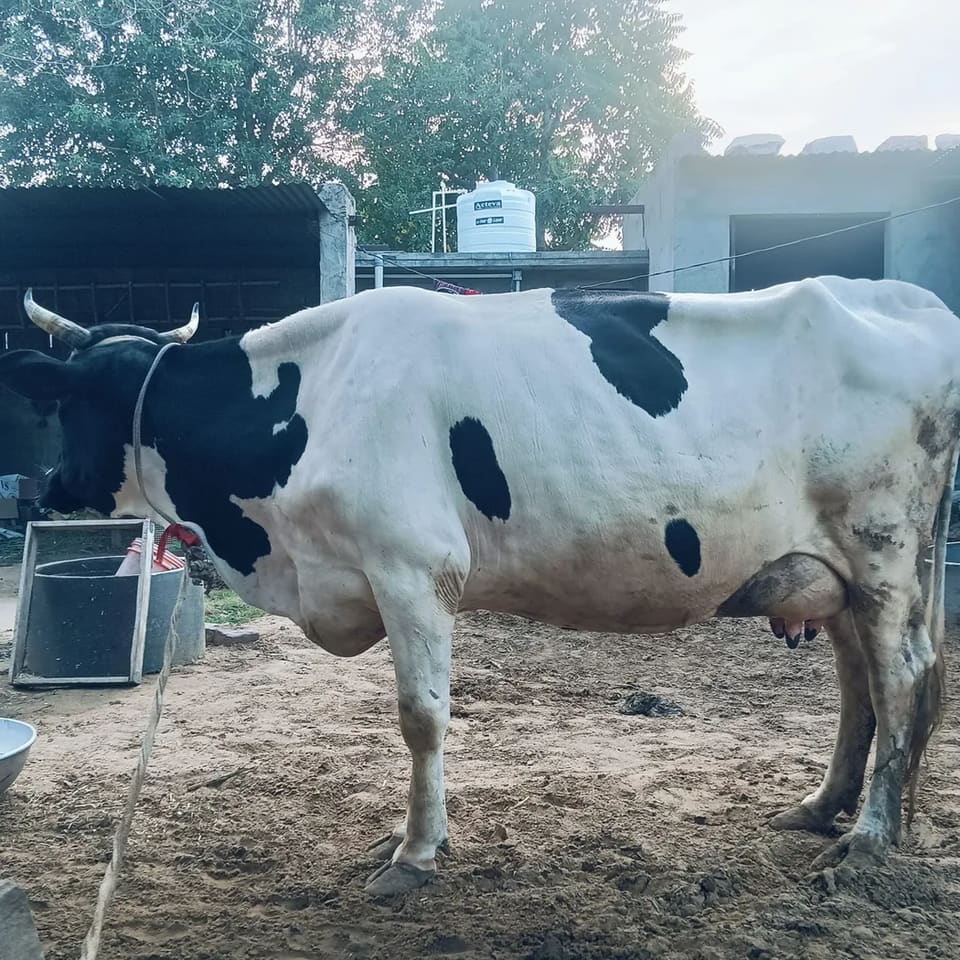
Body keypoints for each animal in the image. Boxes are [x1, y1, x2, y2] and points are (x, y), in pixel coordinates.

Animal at [1, 276, 957, 897]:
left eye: (72, 402)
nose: (50, 489)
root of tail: (912, 298)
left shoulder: (413, 569)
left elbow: (421, 717)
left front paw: (416, 853)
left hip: (884, 547)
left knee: (902, 677)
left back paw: (868, 840)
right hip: (834, 570)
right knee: (859, 683)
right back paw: (823, 808)